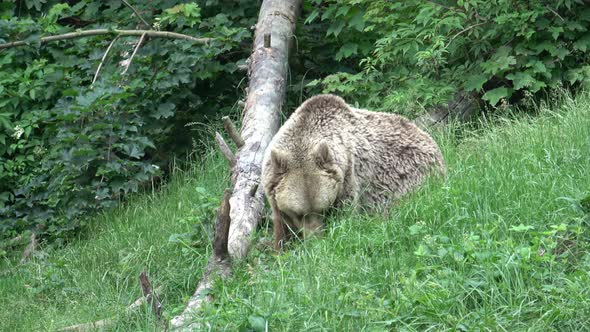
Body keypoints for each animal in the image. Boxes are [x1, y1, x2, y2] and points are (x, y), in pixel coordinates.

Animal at [262, 93, 446, 249]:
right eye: (299, 213)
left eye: (324, 209)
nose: (316, 241)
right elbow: (281, 229)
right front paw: (281, 247)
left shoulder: (348, 177)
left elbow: (347, 216)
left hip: (412, 176)